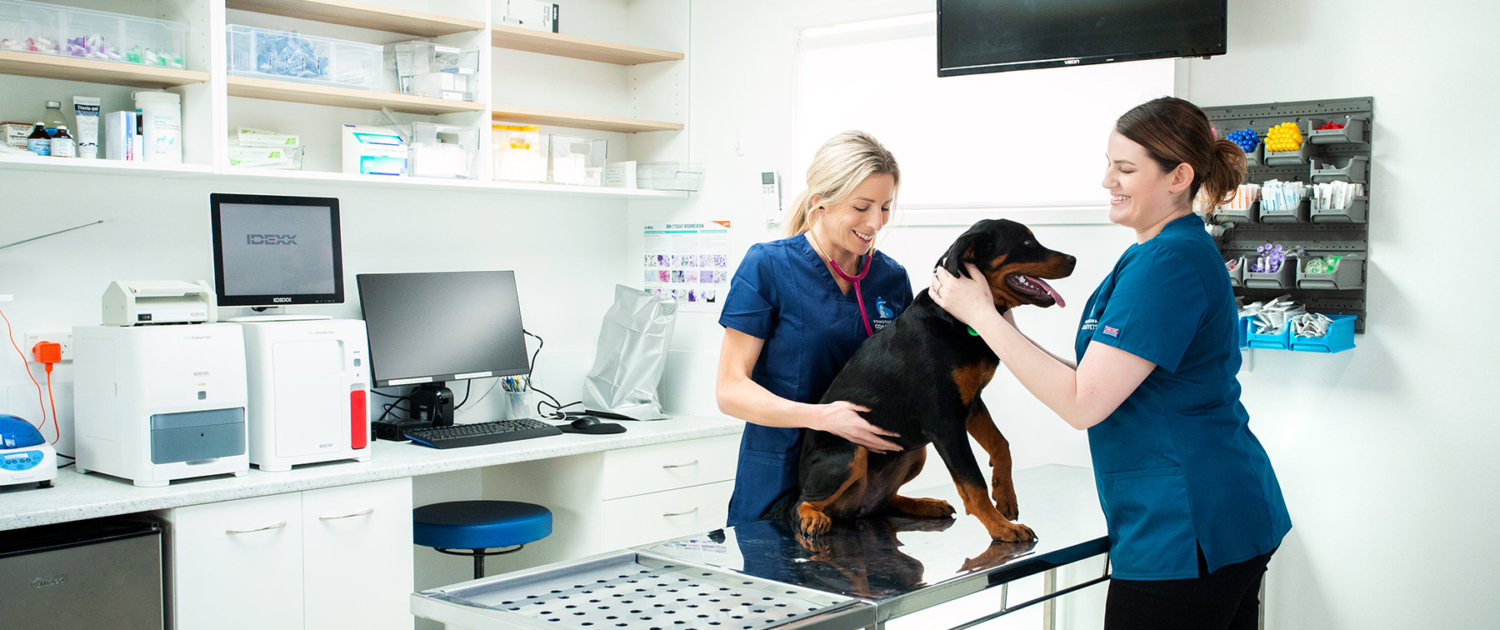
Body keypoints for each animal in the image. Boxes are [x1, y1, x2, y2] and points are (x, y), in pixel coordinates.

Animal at [792, 220, 1074, 540]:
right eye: (1026, 243)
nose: (1073, 260)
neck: (958, 320)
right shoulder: (945, 422)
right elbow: (972, 482)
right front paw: (1001, 527)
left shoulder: (971, 403)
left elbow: (1001, 444)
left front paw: (1005, 496)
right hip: (852, 453)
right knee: (801, 503)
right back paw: (812, 516)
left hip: (915, 452)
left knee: (883, 501)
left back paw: (926, 504)